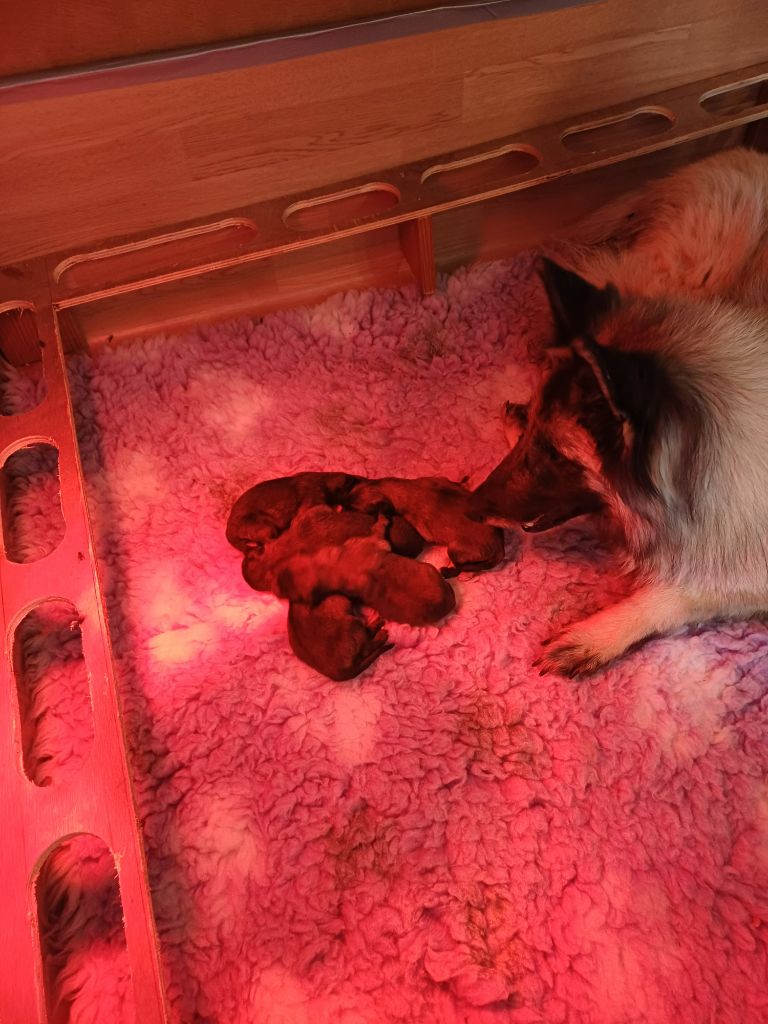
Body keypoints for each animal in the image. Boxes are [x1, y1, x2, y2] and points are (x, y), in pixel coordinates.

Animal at [348, 473, 505, 573]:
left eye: (354, 509)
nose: (344, 507)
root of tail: (500, 548)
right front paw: (463, 480)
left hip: (454, 550)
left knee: (462, 567)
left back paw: (448, 571)